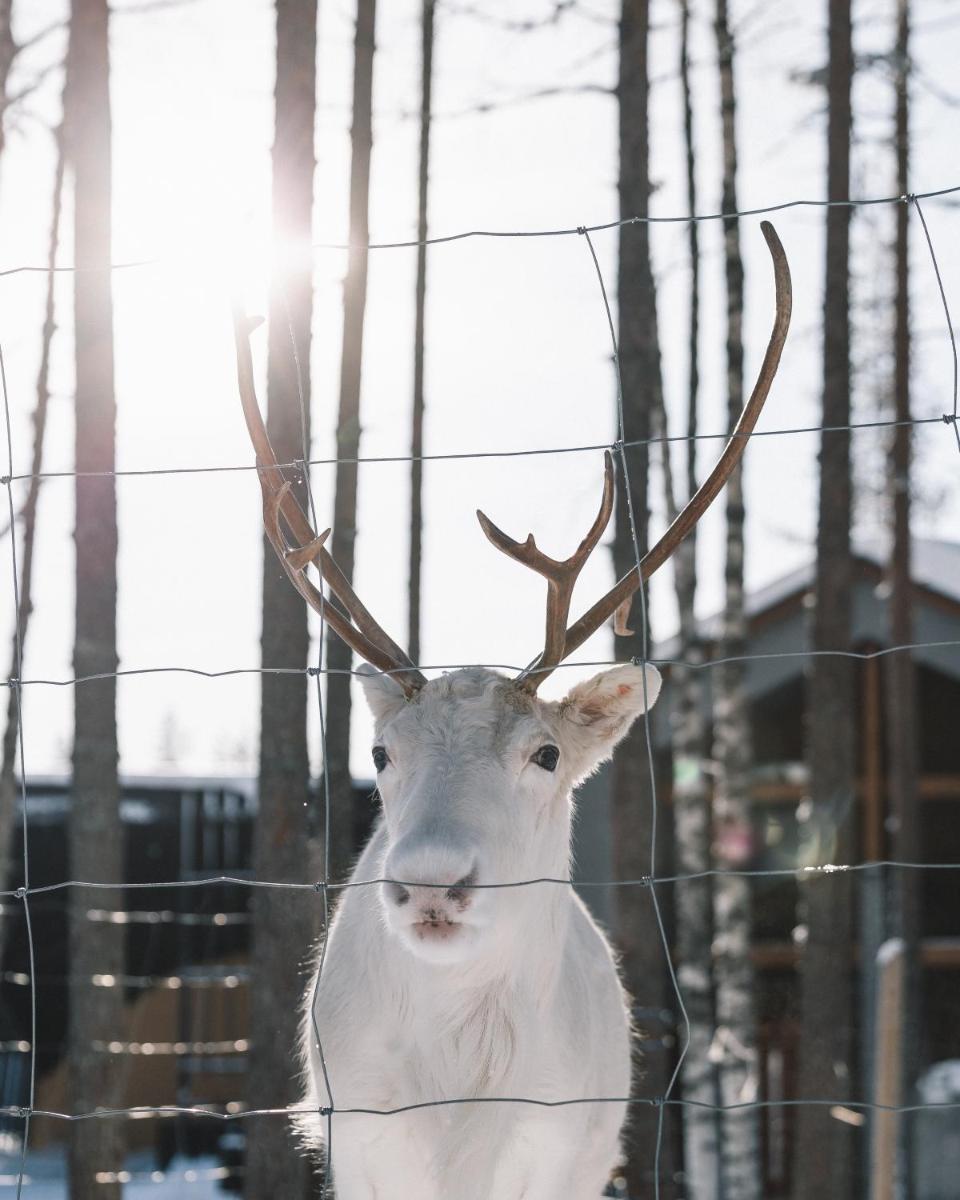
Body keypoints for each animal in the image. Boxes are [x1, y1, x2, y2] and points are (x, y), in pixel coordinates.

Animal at [233, 221, 791, 1199]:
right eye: (380, 752)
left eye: (546, 754)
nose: (431, 881)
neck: (458, 1099)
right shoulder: (360, 1148)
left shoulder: (555, 1151)